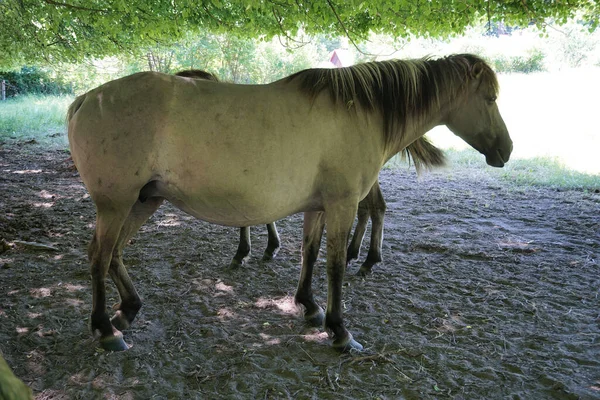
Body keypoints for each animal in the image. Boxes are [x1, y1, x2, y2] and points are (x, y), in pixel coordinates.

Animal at [69, 54, 510, 352]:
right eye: (489, 98)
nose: (505, 150)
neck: (359, 112)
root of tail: (87, 98)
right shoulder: (342, 205)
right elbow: (334, 266)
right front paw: (339, 329)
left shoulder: (318, 207)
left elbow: (309, 254)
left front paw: (309, 307)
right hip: (117, 204)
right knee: (99, 256)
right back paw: (106, 329)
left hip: (143, 202)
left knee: (113, 254)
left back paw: (128, 308)